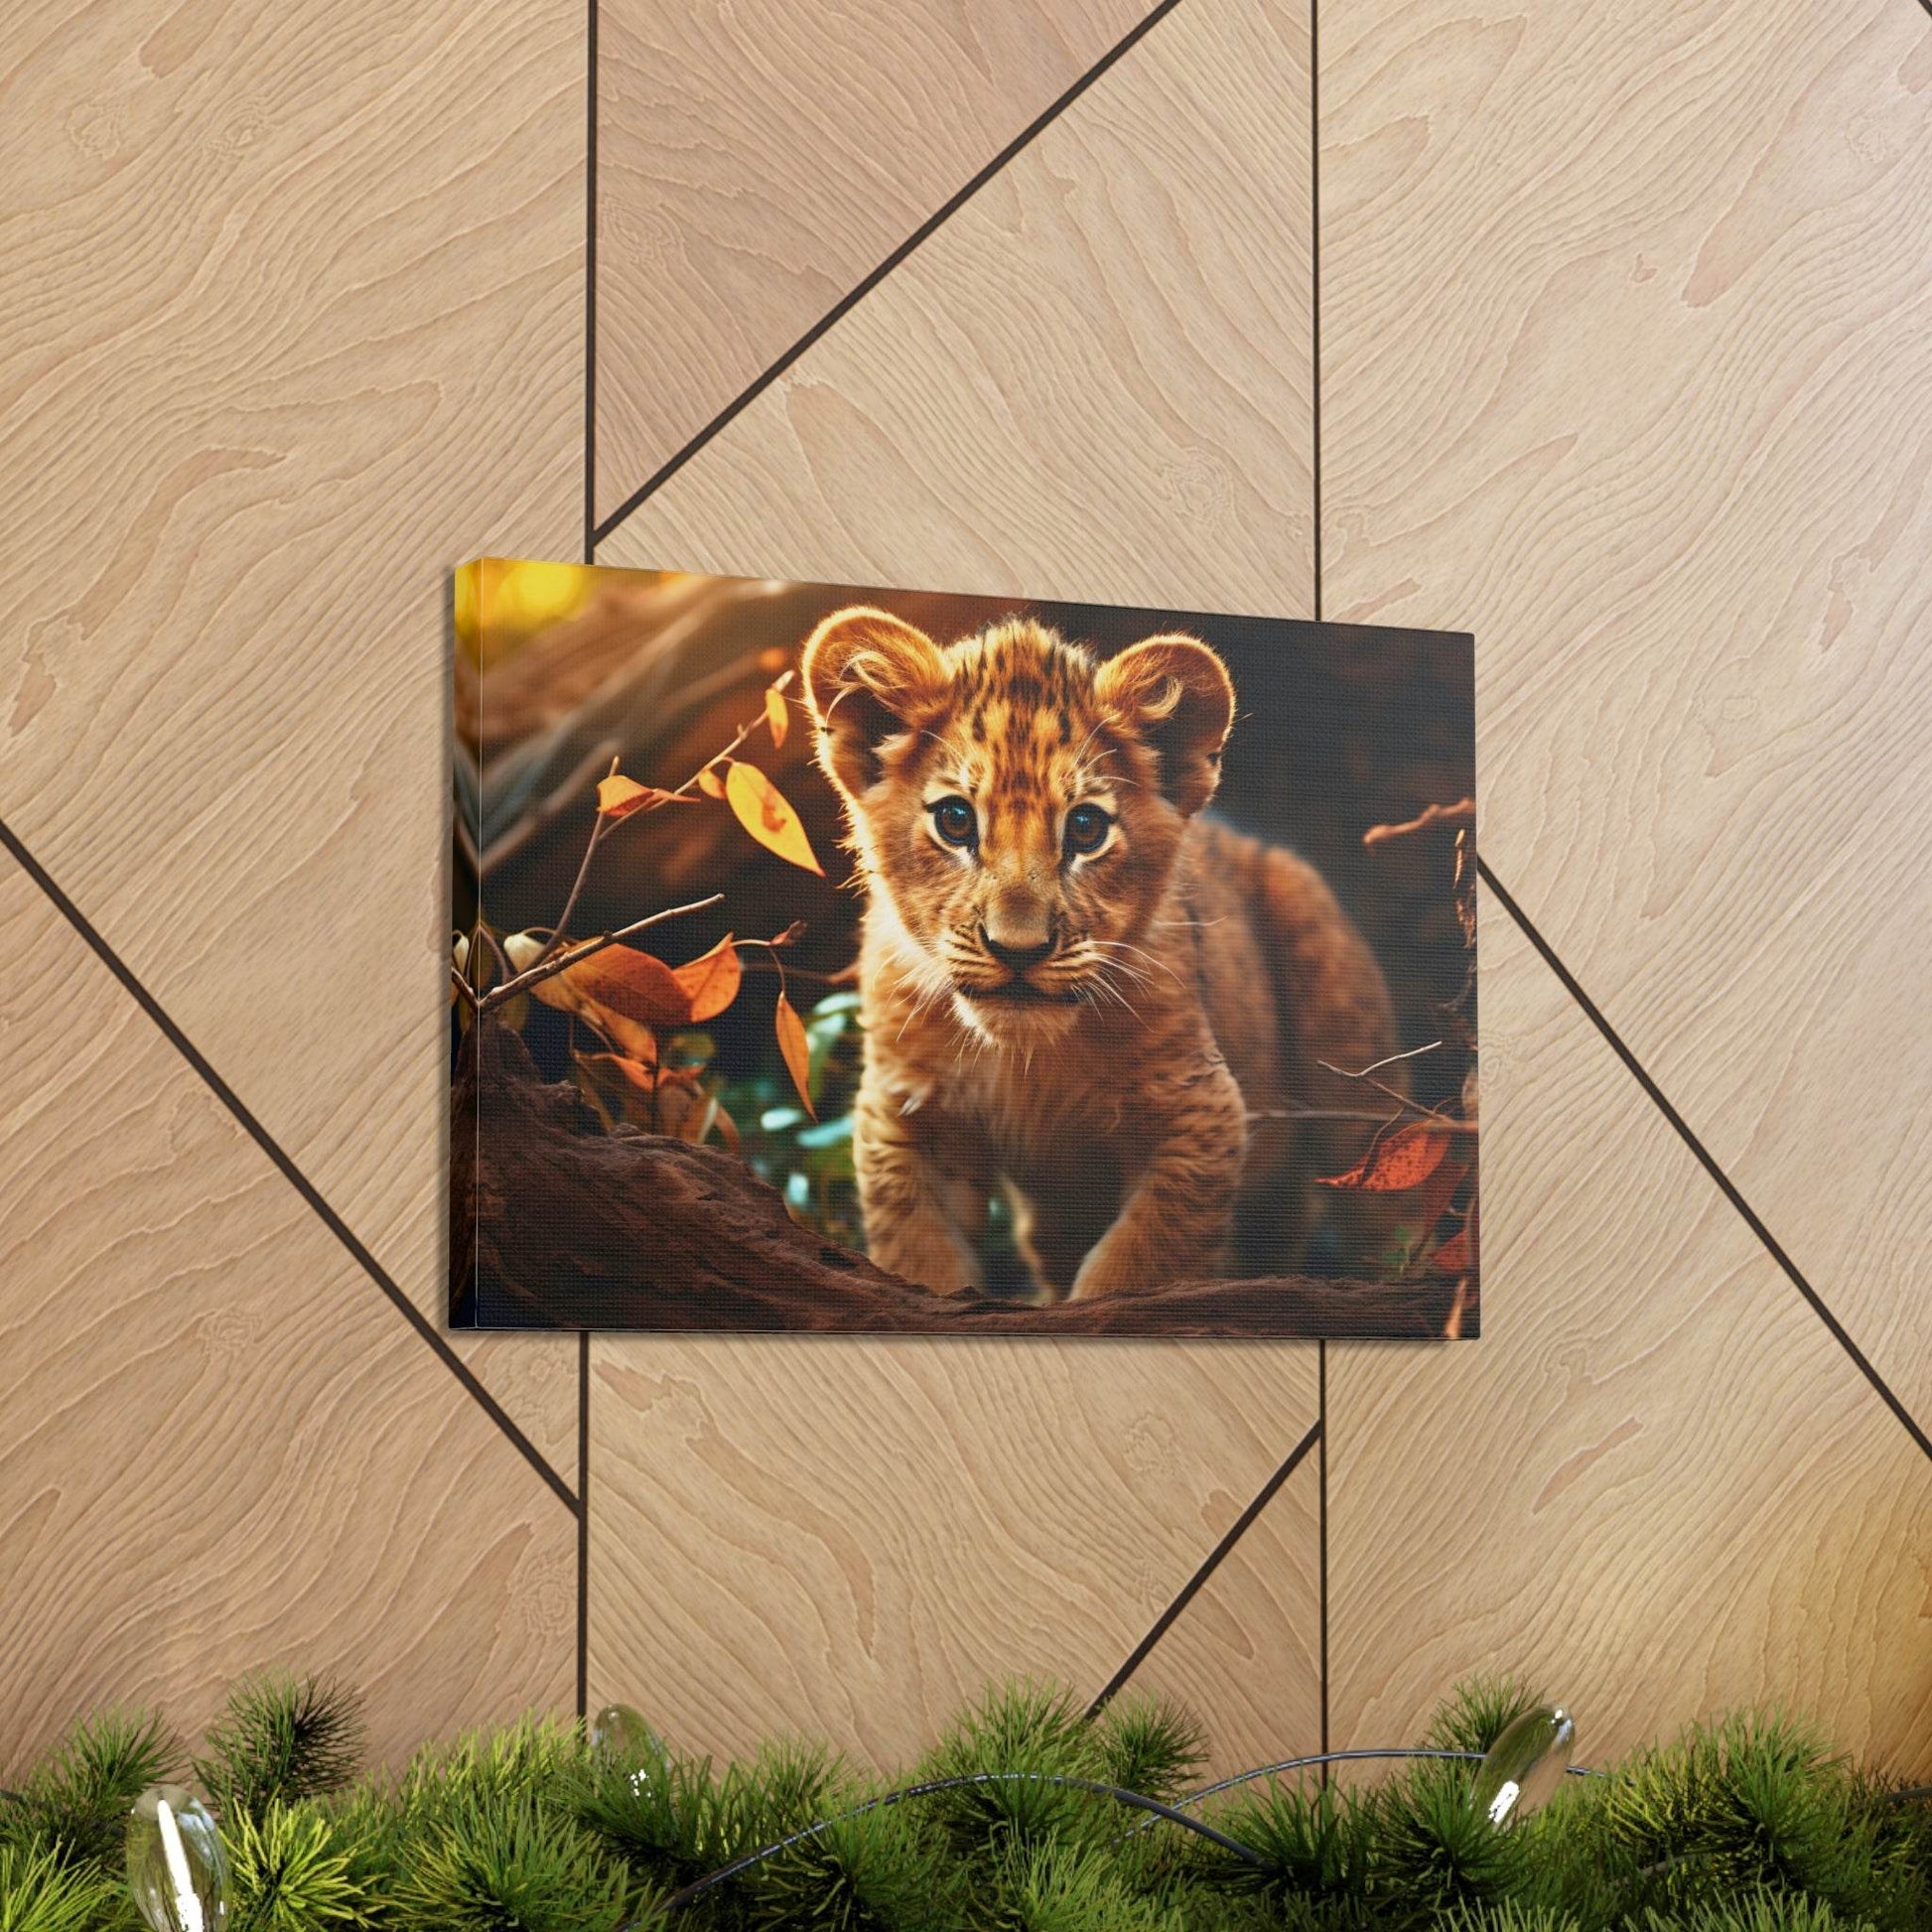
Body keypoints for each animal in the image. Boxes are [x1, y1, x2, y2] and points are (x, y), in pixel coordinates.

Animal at [801, 606, 1403, 1301]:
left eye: (1086, 829)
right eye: (955, 821)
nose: (1018, 950)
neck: (1027, 1060)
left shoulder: (1200, 1110)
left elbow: (1135, 1264)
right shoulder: (905, 1117)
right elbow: (921, 1259)